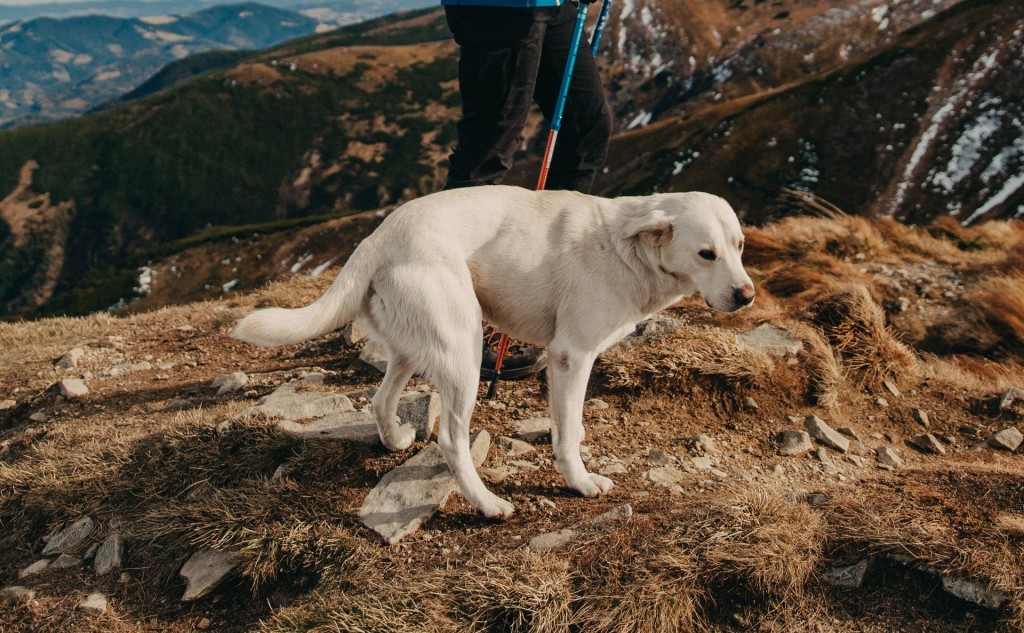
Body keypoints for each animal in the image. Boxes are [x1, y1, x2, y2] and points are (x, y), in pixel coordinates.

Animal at [237, 183, 753, 518]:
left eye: (741, 245)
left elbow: (571, 422)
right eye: (706, 253)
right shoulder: (571, 356)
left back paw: (396, 439)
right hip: (462, 352)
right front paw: (580, 481)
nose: (746, 295)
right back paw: (486, 504)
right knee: (451, 439)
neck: (626, 248)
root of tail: (377, 238)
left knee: (381, 399)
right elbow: (567, 433)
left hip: (414, 347)